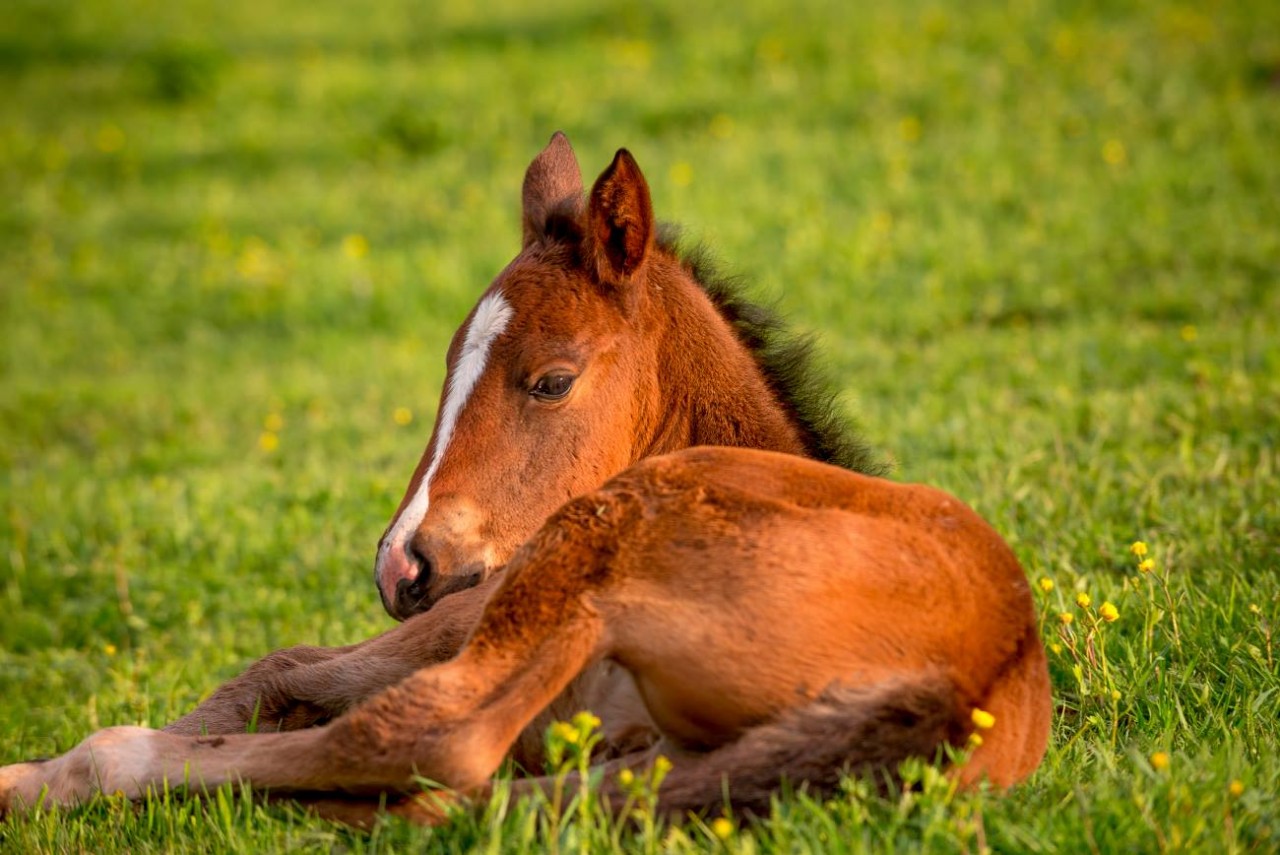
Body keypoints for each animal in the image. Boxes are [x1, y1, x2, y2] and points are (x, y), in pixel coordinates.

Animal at [0, 135, 1049, 829]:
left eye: (550, 379)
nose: (403, 564)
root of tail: (965, 678)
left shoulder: (472, 605)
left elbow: (284, 668)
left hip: (587, 551)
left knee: (430, 738)